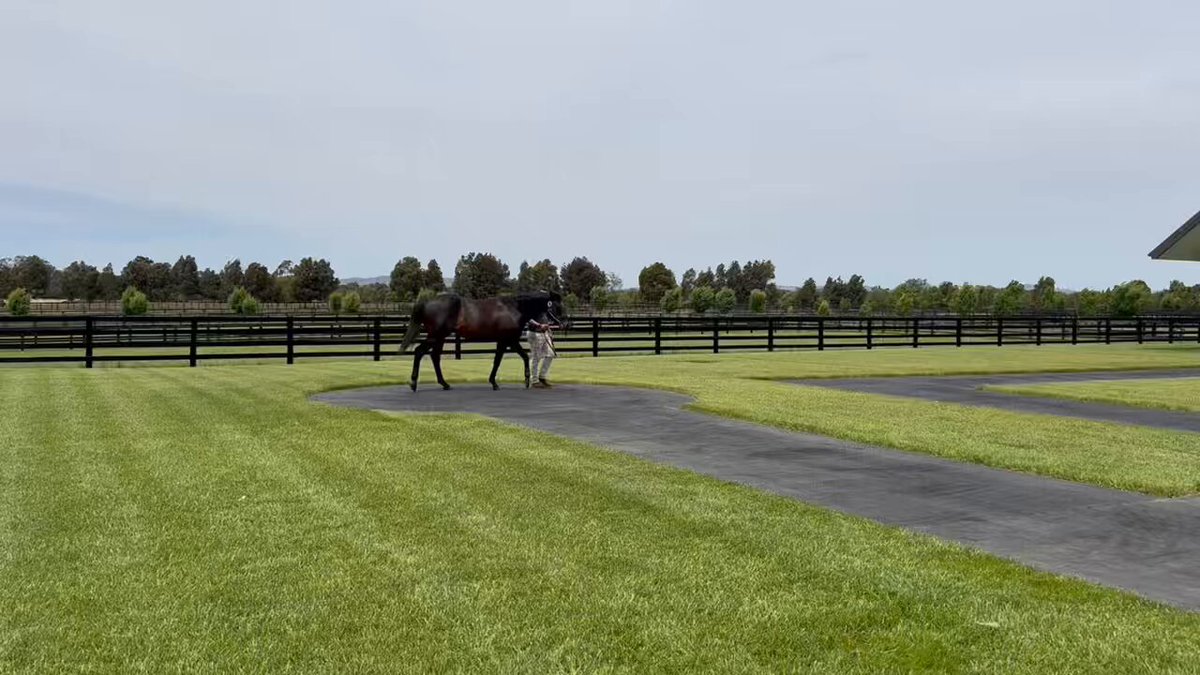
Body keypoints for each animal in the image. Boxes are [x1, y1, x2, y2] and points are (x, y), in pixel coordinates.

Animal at [399, 291, 565, 391]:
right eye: (557, 307)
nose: (565, 324)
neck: (514, 309)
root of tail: (426, 302)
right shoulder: (508, 340)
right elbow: (517, 358)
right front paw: (525, 380)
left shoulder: (504, 341)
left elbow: (502, 360)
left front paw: (495, 382)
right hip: (435, 336)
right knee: (419, 351)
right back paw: (414, 383)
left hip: (440, 338)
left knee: (434, 357)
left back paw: (444, 384)